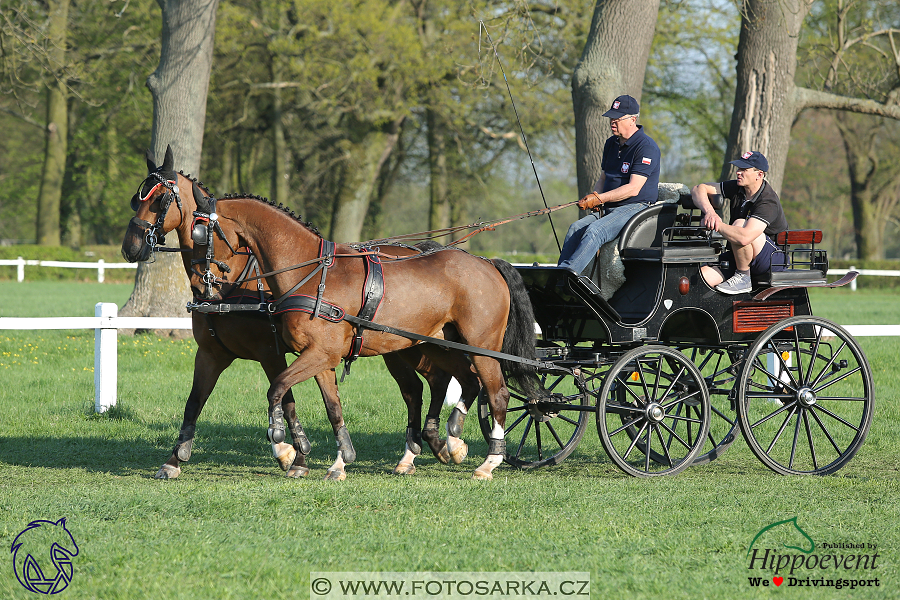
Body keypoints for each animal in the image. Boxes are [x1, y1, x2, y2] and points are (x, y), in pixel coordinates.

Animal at [123, 144, 536, 478]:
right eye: (137, 199)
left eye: (160, 202)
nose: (131, 246)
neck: (303, 271)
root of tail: (483, 261)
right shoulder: (290, 355)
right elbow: (327, 406)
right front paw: (338, 461)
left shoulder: (295, 353)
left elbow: (278, 392)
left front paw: (286, 447)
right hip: (427, 345)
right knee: (444, 385)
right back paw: (441, 444)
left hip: (479, 346)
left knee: (495, 393)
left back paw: (487, 462)